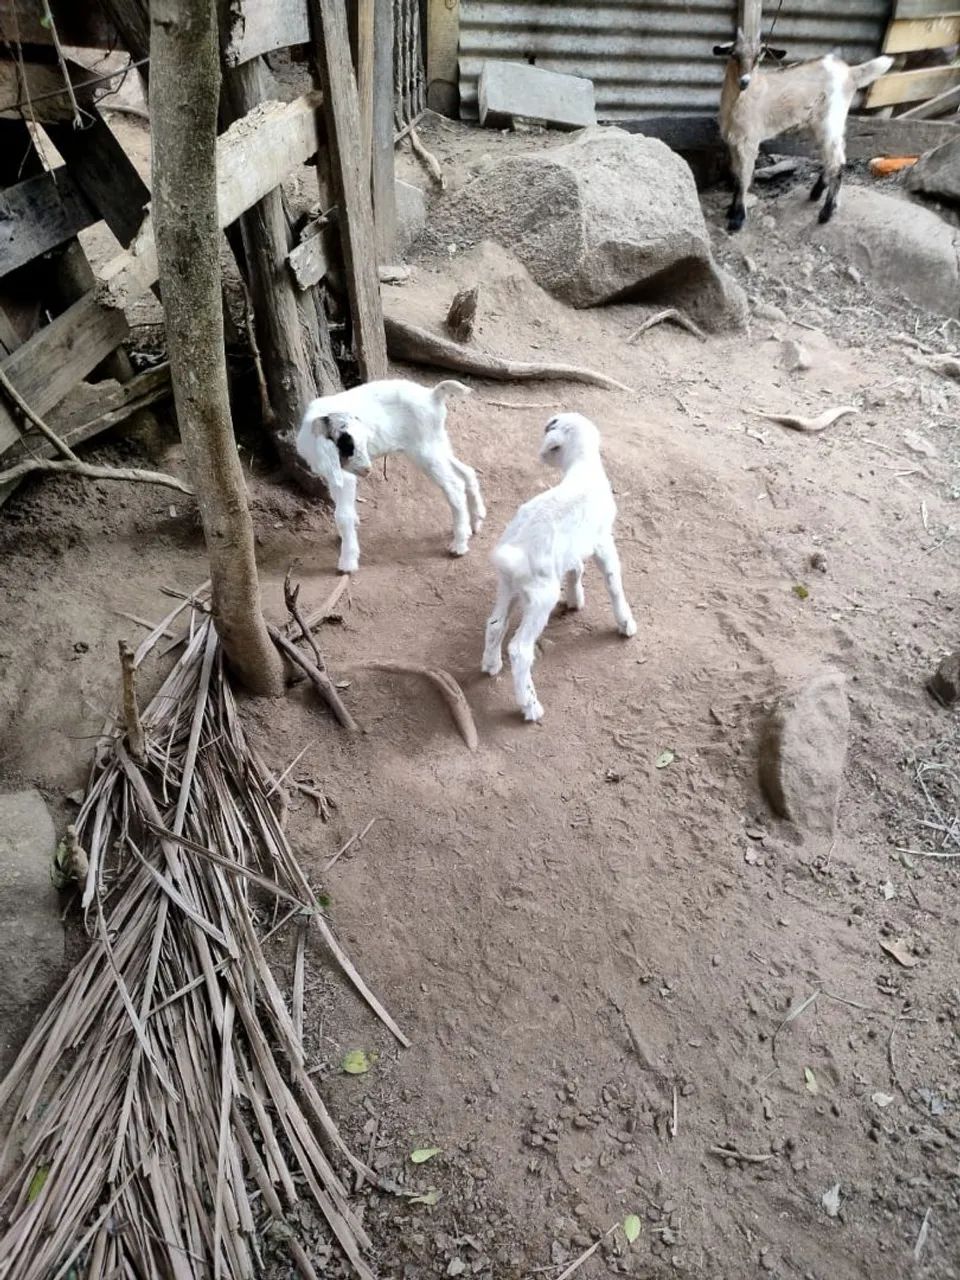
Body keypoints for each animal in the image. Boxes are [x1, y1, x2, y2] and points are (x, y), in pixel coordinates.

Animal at [295, 378, 484, 573]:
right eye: (348, 446)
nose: (368, 470)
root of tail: (432, 395)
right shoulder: (335, 475)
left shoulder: (345, 476)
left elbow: (342, 515)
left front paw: (348, 561)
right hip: (437, 443)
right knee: (467, 472)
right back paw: (475, 521)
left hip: (425, 451)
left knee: (454, 486)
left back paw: (459, 544)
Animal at [481, 413, 636, 723]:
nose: (541, 456)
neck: (583, 468)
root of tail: (515, 551)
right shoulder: (603, 540)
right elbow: (614, 582)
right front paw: (626, 623)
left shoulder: (572, 549)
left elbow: (576, 570)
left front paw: (576, 600)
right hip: (541, 597)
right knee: (519, 650)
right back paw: (530, 706)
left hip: (507, 585)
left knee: (494, 625)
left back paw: (491, 665)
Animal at [712, 29, 893, 232]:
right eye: (733, 54)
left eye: (759, 56)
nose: (744, 81)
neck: (740, 100)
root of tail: (850, 72)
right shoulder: (733, 142)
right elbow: (736, 176)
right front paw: (731, 211)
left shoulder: (749, 142)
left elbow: (744, 178)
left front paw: (737, 219)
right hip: (820, 123)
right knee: (830, 156)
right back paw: (816, 192)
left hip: (831, 118)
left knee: (837, 161)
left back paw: (826, 213)